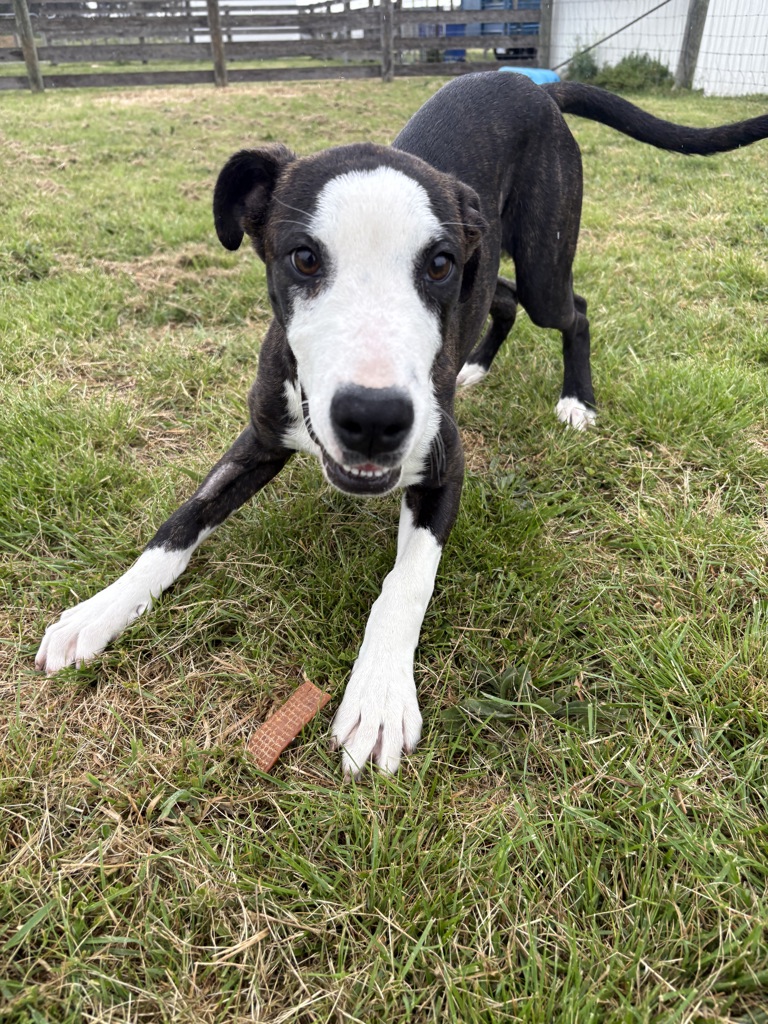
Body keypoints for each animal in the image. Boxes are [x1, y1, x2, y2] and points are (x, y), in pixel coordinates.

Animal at [36, 72, 768, 775]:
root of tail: (531, 81)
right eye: (303, 257)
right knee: (500, 298)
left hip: (543, 263)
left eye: (437, 263)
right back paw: (474, 365)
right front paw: (102, 609)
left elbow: (405, 583)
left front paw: (381, 695)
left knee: (573, 309)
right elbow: (180, 524)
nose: (373, 417)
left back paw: (575, 400)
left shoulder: (444, 466)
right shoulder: (260, 439)